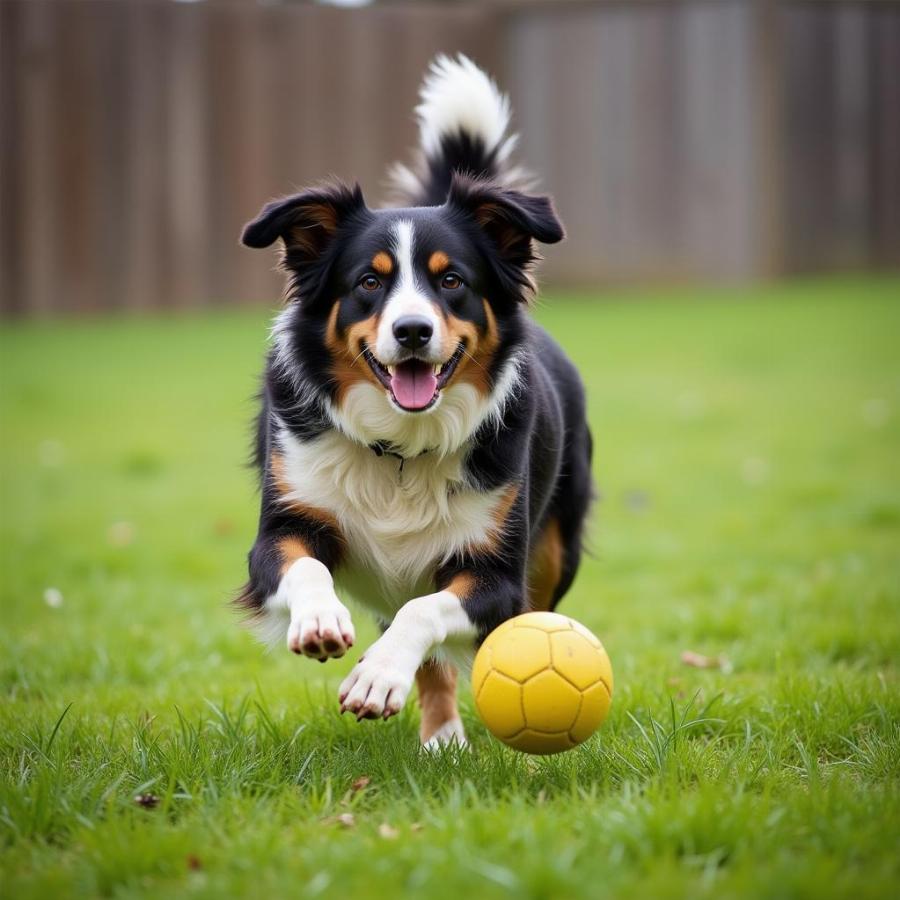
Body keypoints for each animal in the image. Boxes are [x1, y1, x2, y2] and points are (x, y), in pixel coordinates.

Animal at [236, 52, 596, 748]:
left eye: (451, 280)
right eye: (368, 283)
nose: (411, 331)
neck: (401, 446)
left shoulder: (496, 576)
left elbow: (425, 611)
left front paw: (379, 677)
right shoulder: (283, 526)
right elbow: (305, 567)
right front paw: (319, 622)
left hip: (554, 551)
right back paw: (442, 735)